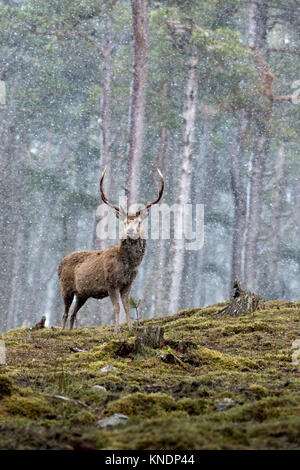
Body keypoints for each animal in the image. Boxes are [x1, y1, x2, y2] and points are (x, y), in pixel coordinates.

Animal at [57, 167, 163, 332]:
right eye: (125, 222)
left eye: (139, 222)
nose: (130, 231)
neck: (127, 265)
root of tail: (60, 264)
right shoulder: (111, 283)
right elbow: (117, 307)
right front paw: (117, 330)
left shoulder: (128, 284)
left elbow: (126, 306)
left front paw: (130, 328)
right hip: (66, 287)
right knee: (65, 312)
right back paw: (62, 331)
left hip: (82, 294)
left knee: (74, 313)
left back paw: (70, 331)